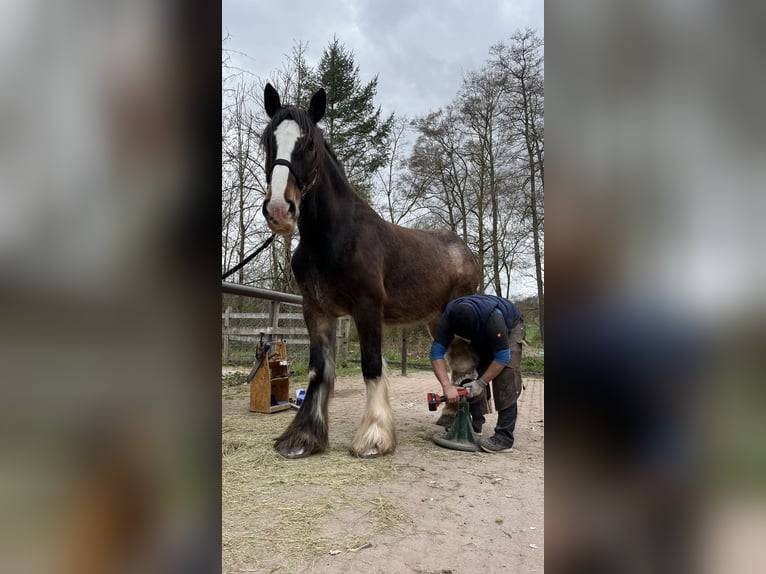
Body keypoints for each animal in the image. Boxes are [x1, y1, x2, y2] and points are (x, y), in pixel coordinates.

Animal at [260, 83, 480, 458]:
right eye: (267, 141)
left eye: (309, 144)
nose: (278, 210)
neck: (332, 237)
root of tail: (464, 250)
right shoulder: (315, 310)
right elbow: (319, 370)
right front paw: (303, 438)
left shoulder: (367, 307)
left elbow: (372, 366)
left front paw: (374, 439)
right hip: (437, 320)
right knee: (457, 362)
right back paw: (450, 415)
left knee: (467, 363)